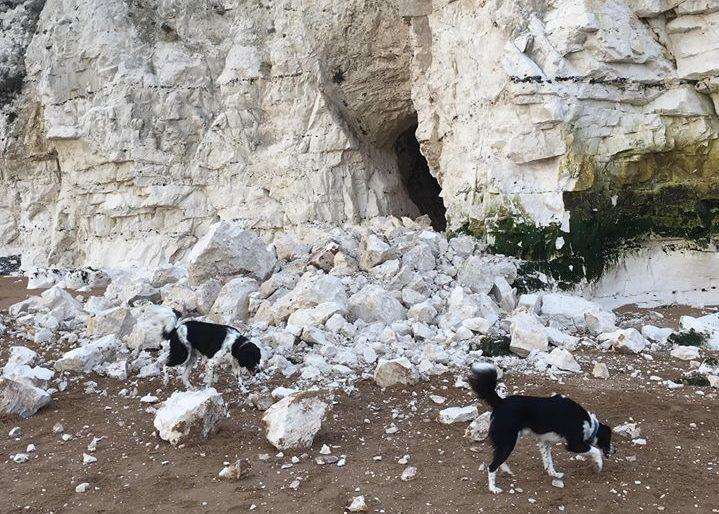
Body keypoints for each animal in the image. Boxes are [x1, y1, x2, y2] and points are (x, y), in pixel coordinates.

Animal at [470, 360, 616, 492]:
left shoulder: (545, 442)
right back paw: (493, 488)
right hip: (508, 442)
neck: (590, 424)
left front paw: (554, 474)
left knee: (497, 458)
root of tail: (501, 402)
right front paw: (599, 464)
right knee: (491, 466)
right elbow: (595, 450)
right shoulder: (574, 444)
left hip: (506, 441)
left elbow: (548, 461)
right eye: (609, 439)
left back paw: (505, 470)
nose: (614, 451)